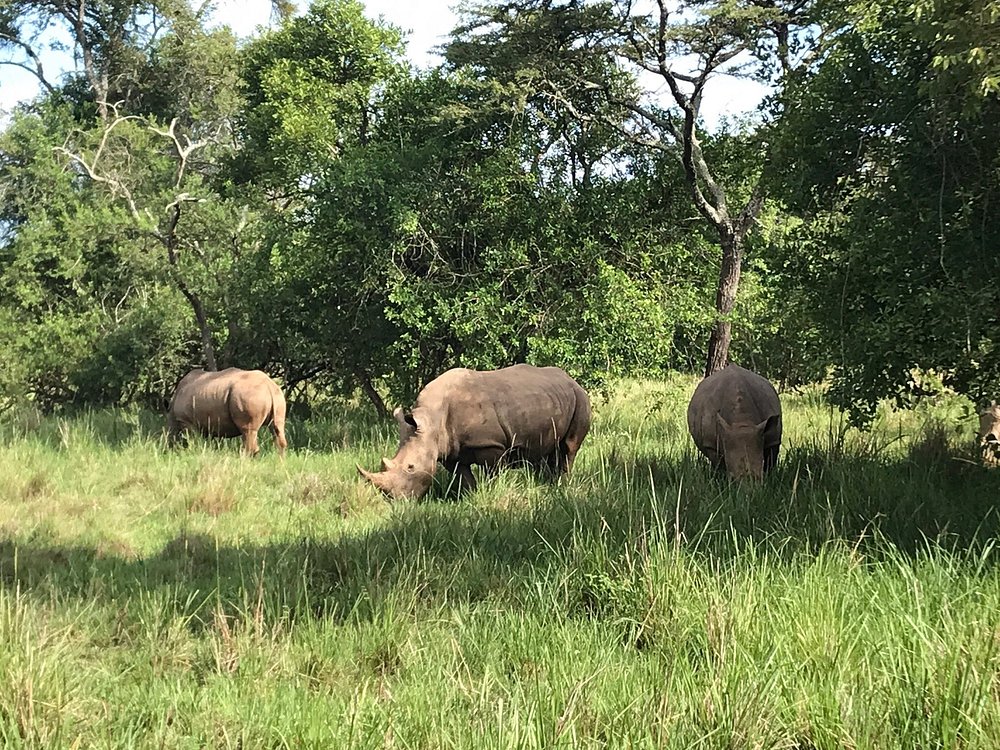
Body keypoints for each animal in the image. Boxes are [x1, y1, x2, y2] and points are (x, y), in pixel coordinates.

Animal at [357, 364, 591, 499]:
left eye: (411, 467)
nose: (394, 501)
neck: (431, 420)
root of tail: (570, 379)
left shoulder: (491, 445)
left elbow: (493, 474)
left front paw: (492, 493)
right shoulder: (450, 451)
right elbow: (464, 479)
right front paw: (470, 499)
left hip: (580, 398)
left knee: (568, 448)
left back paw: (562, 484)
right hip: (549, 398)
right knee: (544, 452)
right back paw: (547, 484)